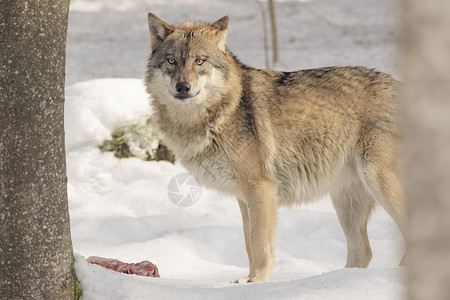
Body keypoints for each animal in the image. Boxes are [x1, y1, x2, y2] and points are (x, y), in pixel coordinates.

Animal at [144, 12, 404, 284]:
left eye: (199, 61)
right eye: (172, 61)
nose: (182, 87)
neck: (215, 116)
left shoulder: (261, 191)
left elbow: (259, 245)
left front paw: (256, 282)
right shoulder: (243, 198)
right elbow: (248, 244)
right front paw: (246, 282)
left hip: (378, 181)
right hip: (346, 201)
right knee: (363, 252)